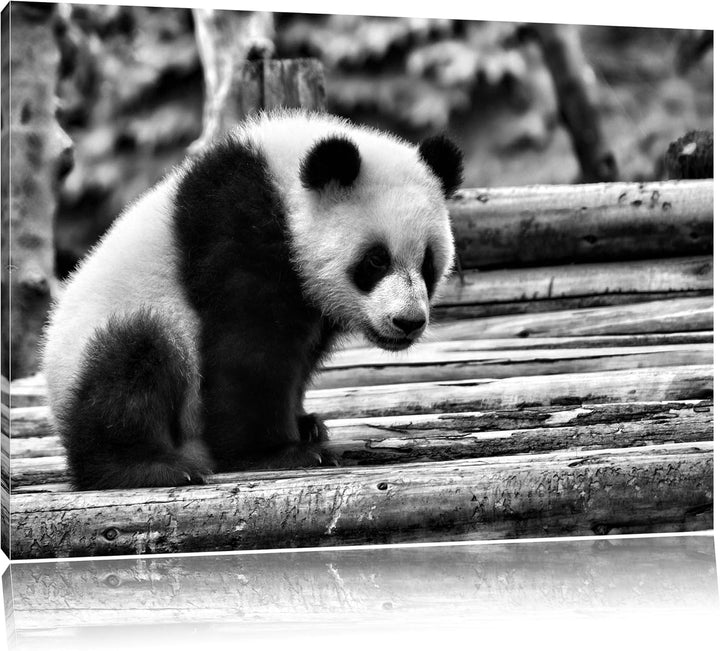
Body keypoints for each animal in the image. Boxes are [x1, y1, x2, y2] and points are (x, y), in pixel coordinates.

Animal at [42, 110, 463, 490]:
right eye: (376, 260)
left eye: (428, 264)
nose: (408, 321)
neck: (283, 184)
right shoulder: (237, 230)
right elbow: (250, 348)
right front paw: (277, 451)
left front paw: (305, 424)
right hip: (109, 337)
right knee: (133, 362)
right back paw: (147, 467)